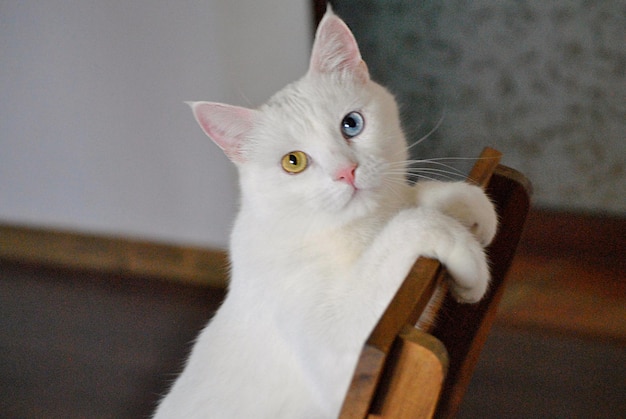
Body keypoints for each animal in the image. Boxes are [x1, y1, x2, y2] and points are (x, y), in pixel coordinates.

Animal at [154, 7, 494, 419]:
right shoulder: (348, 360)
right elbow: (406, 228)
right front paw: (460, 248)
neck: (355, 228)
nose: (346, 172)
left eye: (352, 123)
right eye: (293, 162)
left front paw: (467, 202)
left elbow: (413, 200)